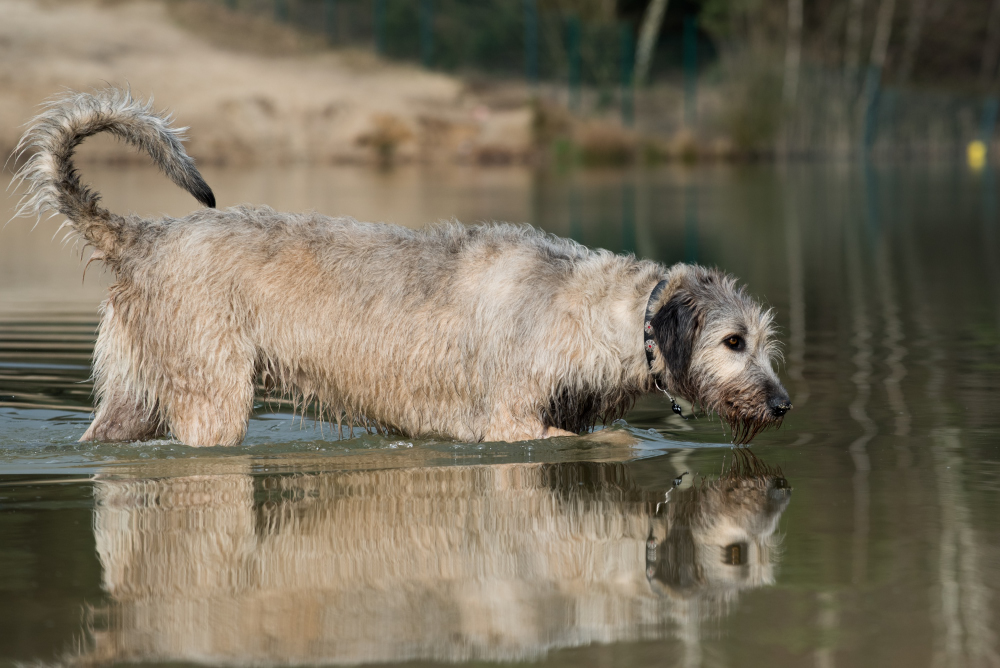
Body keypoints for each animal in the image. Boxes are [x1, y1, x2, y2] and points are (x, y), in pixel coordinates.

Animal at [7, 87, 788, 444]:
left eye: (764, 342)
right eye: (733, 342)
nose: (783, 403)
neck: (603, 311)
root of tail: (144, 234)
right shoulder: (508, 424)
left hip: (134, 397)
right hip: (212, 396)